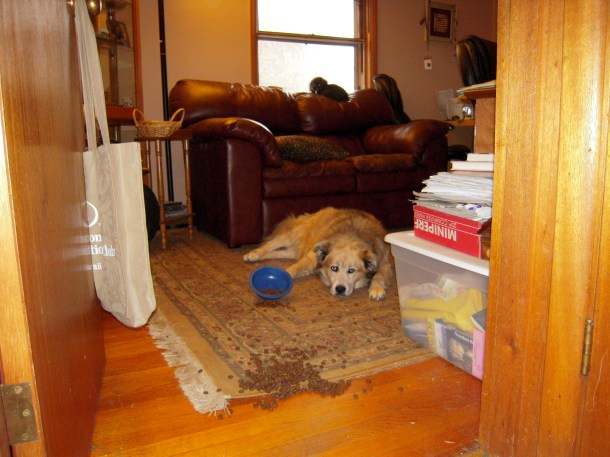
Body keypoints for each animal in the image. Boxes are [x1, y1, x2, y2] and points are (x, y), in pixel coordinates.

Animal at [243, 207, 393, 300]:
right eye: (334, 268)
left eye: (352, 270)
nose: (340, 289)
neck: (351, 236)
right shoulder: (310, 259)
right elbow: (293, 269)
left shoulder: (384, 262)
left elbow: (379, 275)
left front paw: (377, 289)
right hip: (293, 235)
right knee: (271, 244)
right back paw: (253, 254)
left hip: (291, 251)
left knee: (275, 252)